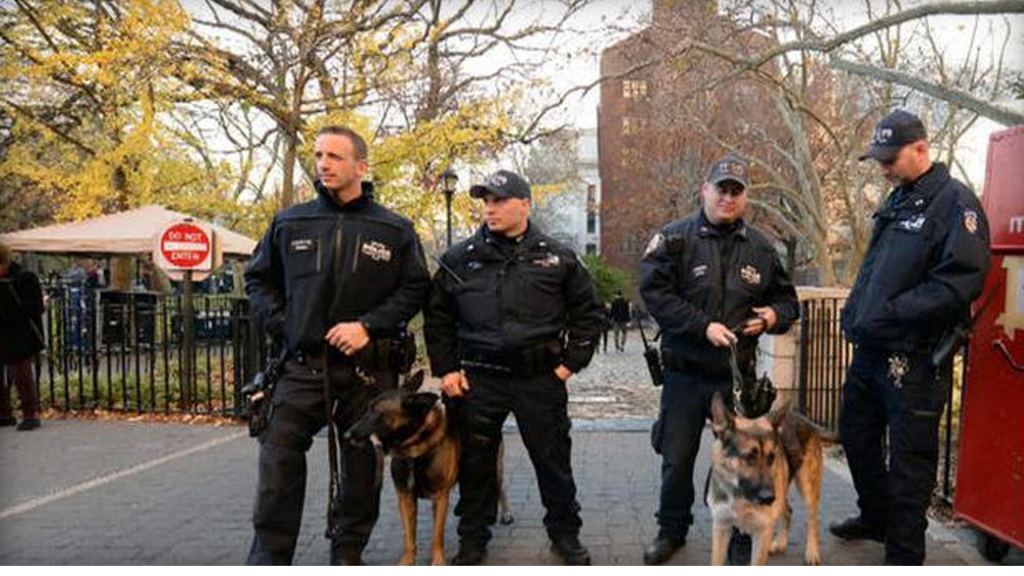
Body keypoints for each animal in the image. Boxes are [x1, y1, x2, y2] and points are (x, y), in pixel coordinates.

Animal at [348, 368, 516, 561]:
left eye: (375, 412)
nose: (346, 434)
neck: (415, 448)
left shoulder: (440, 497)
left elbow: (437, 536)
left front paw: (438, 562)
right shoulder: (405, 497)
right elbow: (409, 538)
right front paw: (406, 562)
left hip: (495, 466)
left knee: (499, 487)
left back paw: (506, 513)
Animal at [708, 387, 827, 561]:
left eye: (772, 457)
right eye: (749, 457)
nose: (768, 498)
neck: (740, 495)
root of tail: (802, 417)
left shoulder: (762, 533)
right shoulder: (721, 527)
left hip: (806, 488)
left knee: (813, 519)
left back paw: (812, 552)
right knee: (788, 511)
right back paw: (781, 542)